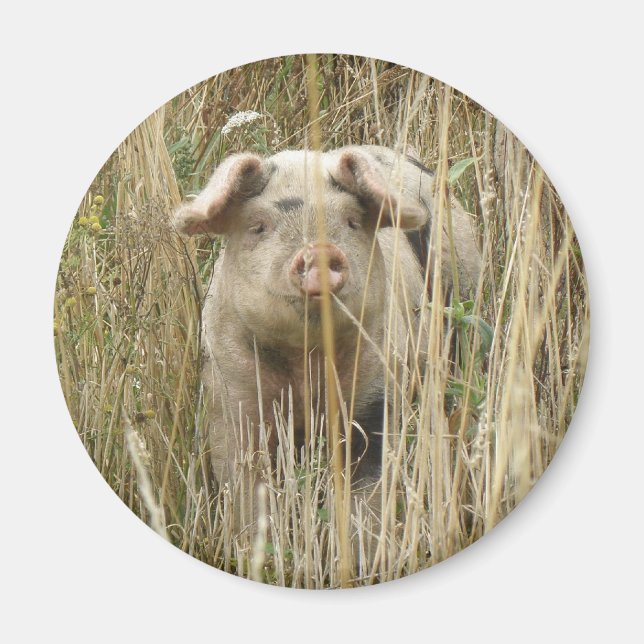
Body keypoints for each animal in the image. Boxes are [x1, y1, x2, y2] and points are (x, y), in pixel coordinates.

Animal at [173, 145, 480, 552]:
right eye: (258, 226)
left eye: (351, 221)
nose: (319, 250)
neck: (305, 364)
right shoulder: (229, 394)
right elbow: (245, 485)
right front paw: (258, 553)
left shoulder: (377, 389)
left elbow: (367, 490)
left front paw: (362, 555)